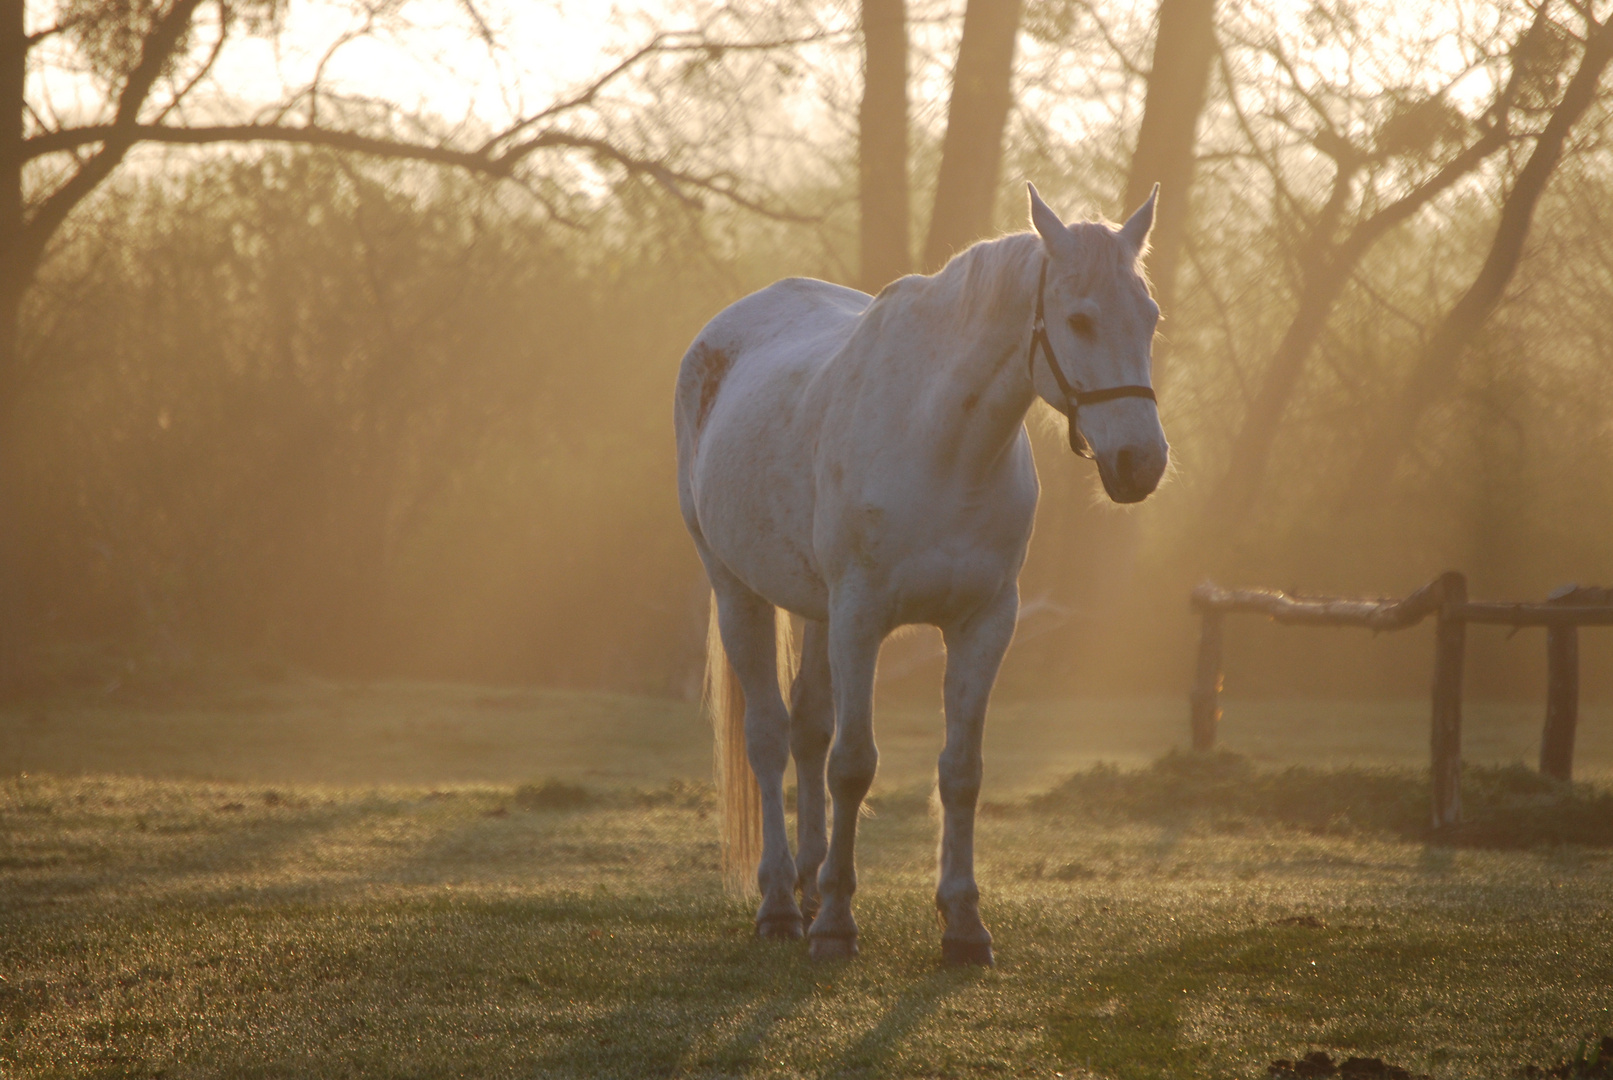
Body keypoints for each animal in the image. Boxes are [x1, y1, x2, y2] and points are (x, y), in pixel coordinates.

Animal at [674, 182, 1167, 967]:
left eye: (1149, 318)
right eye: (1080, 319)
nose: (1140, 464)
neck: (943, 446)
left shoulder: (984, 623)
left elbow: (960, 770)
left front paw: (963, 923)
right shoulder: (860, 619)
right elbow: (853, 763)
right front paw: (837, 924)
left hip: (813, 610)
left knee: (806, 730)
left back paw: (807, 885)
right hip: (737, 592)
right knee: (771, 739)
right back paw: (782, 903)